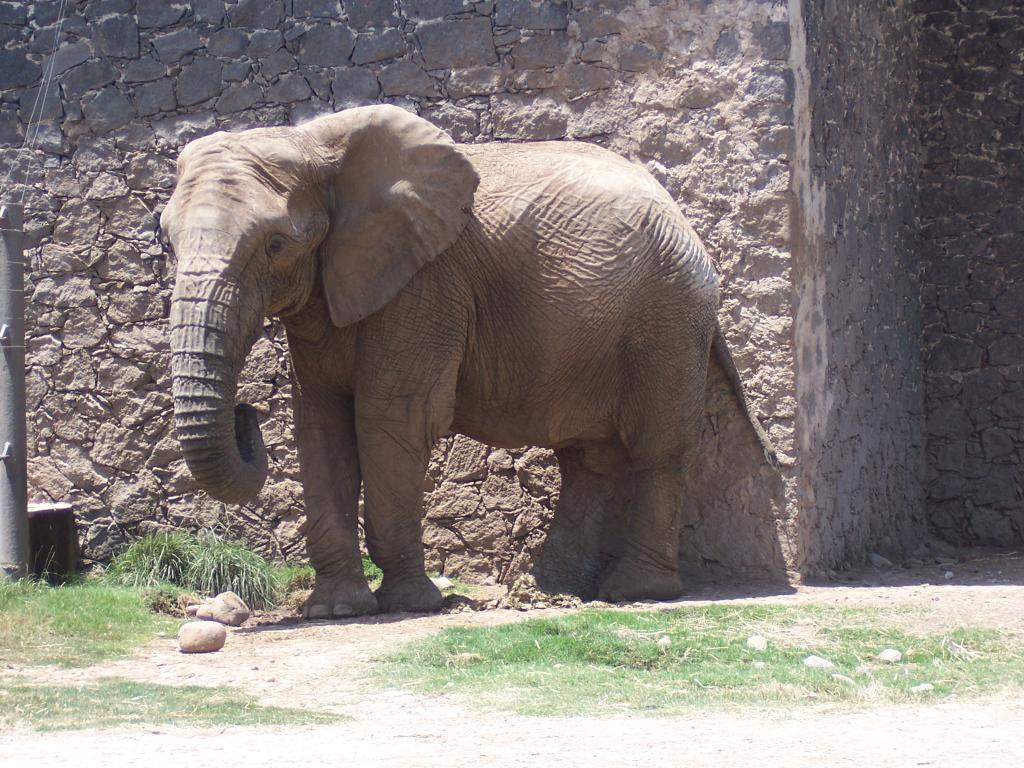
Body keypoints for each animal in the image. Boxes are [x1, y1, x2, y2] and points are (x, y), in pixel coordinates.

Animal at [161, 103, 774, 618]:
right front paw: (335, 610)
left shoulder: (425, 285)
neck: (315, 142)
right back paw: (552, 589)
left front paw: (411, 604)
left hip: (668, 313)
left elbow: (389, 419)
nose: (245, 413)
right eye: (166, 241)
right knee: (588, 459)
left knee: (656, 449)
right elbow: (320, 423)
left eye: (276, 245)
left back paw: (633, 592)